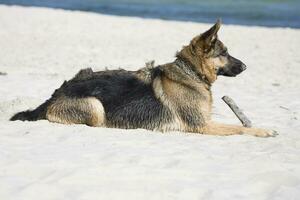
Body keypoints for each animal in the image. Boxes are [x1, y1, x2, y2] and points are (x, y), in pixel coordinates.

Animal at [9, 21, 276, 138]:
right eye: (225, 53)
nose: (245, 66)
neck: (190, 71)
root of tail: (53, 95)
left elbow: (240, 126)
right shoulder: (203, 125)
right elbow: (238, 129)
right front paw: (264, 130)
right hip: (95, 106)